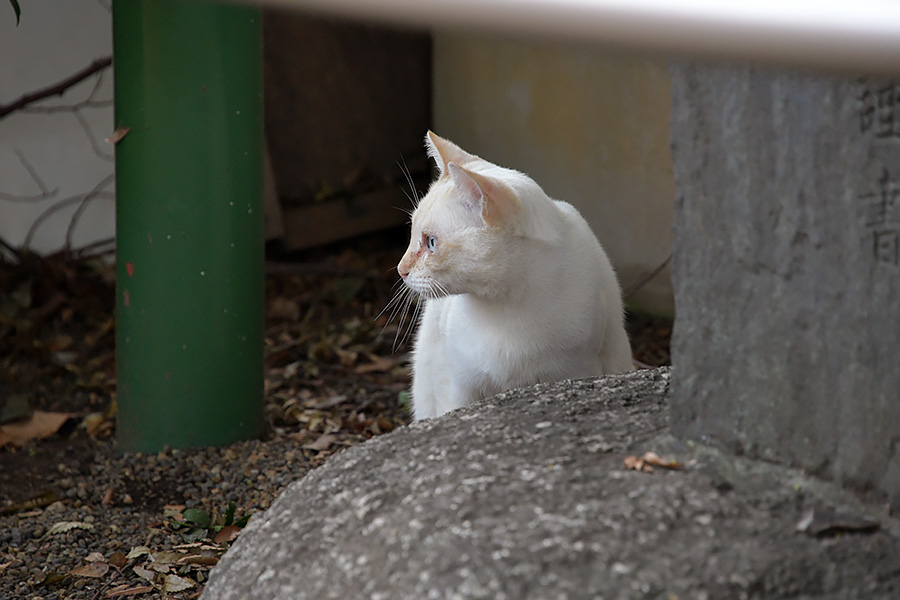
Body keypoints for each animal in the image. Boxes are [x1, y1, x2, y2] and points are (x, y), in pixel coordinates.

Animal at [394, 133, 632, 420]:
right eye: (412, 235)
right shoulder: (457, 387)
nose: (400, 270)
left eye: (430, 242)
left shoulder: (577, 372)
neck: (507, 305)